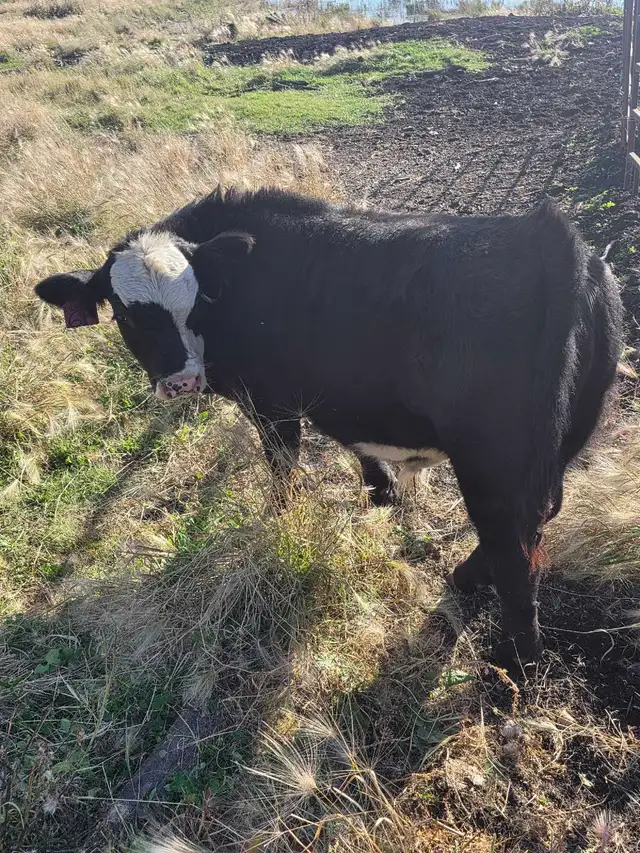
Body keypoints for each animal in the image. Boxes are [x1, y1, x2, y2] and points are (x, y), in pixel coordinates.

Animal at [34, 186, 623, 666]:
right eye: (126, 314)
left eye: (195, 302)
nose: (181, 381)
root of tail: (548, 237)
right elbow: (352, 443)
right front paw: (380, 490)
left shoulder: (271, 404)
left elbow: (282, 466)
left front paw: (282, 520)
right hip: (559, 444)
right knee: (535, 521)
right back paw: (465, 580)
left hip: (491, 458)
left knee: (514, 550)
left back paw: (514, 660)